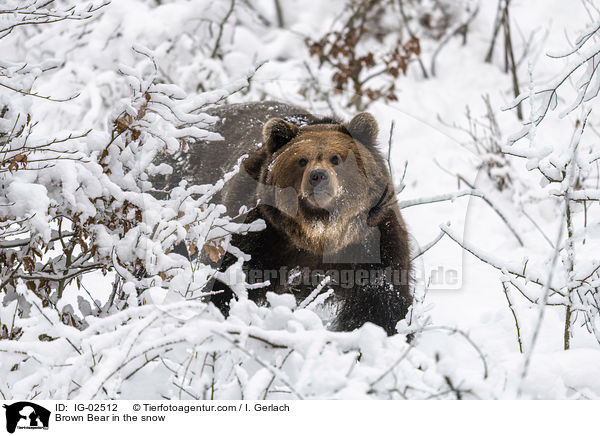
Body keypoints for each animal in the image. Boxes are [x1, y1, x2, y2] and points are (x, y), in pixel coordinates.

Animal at [152, 101, 410, 334]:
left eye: (336, 158)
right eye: (302, 160)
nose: (318, 176)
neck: (318, 233)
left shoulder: (372, 240)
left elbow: (381, 301)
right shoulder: (262, 234)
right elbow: (234, 284)